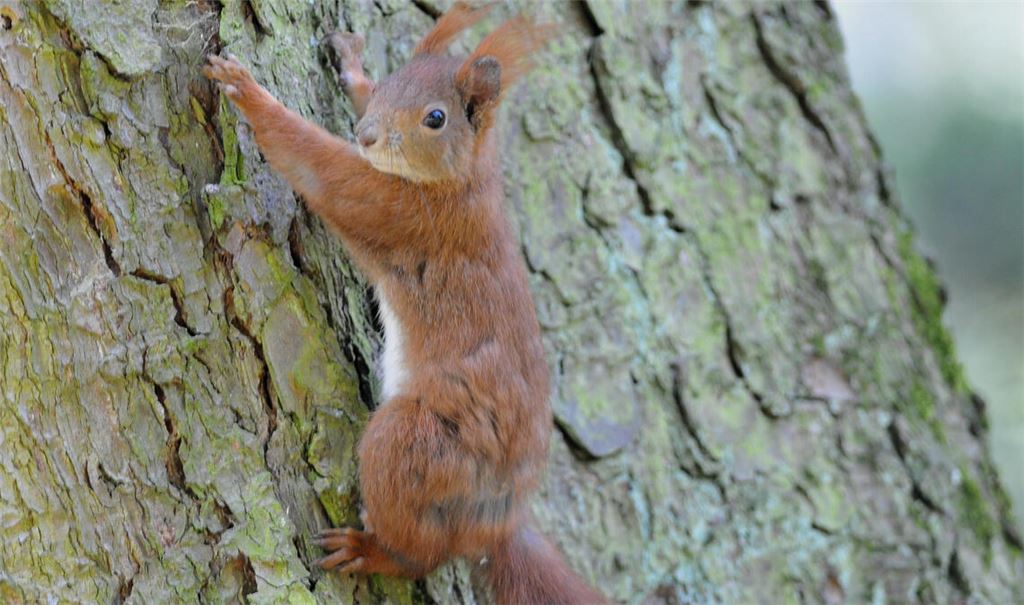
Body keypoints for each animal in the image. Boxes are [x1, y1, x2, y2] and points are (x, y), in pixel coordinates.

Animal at [204, 3, 606, 603]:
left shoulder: (398, 209)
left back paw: (372, 552)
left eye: (436, 118)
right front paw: (351, 67)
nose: (366, 134)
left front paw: (247, 92)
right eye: (391, 83)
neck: (465, 179)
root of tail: (495, 524)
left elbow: (318, 165)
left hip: (417, 445)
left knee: (420, 551)